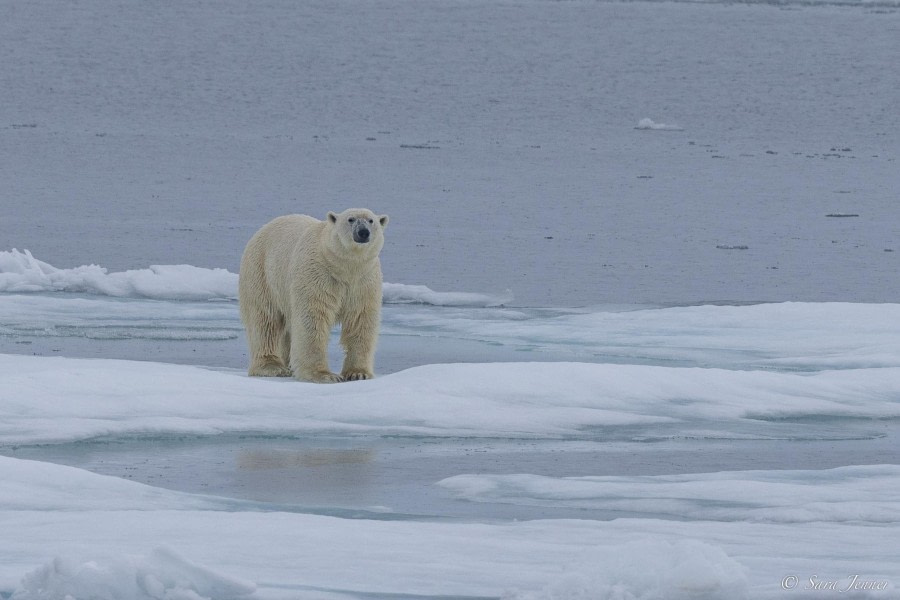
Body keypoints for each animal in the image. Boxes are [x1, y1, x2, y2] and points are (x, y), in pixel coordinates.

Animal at [241, 209, 388, 382]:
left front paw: (358, 373)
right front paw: (324, 375)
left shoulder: (363, 282)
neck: (344, 269)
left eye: (371, 221)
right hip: (261, 273)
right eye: (350, 219)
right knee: (264, 320)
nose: (363, 232)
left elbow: (360, 319)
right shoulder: (317, 275)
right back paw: (272, 367)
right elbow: (312, 319)